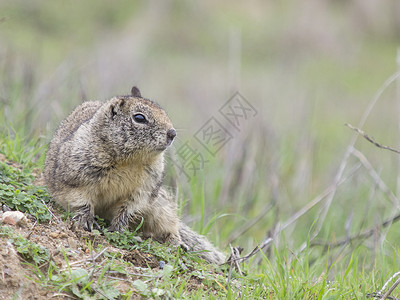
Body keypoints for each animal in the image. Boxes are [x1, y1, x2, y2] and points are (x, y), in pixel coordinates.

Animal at [44, 87, 225, 264]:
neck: (130, 161)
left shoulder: (143, 189)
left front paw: (118, 228)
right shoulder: (77, 175)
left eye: (163, 112)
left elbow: (129, 208)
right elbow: (80, 199)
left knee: (170, 226)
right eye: (139, 118)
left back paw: (177, 243)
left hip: (161, 207)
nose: (172, 133)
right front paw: (87, 220)